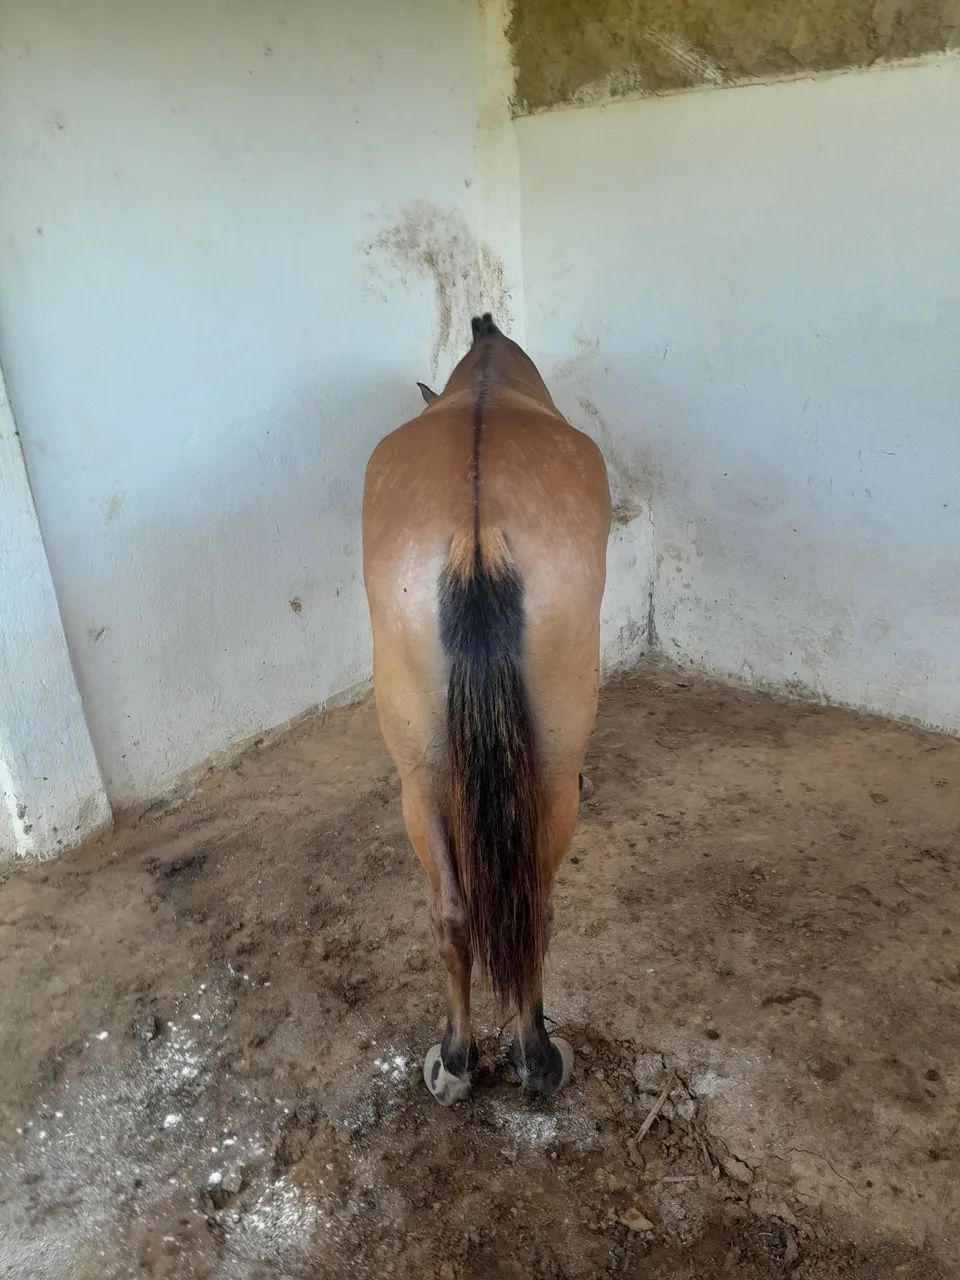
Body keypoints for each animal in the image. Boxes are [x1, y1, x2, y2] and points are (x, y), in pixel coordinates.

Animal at [361, 315, 611, 1105]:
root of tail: (476, 532)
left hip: (419, 779)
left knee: (451, 912)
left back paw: (456, 1061)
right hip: (553, 775)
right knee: (536, 906)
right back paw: (537, 1057)